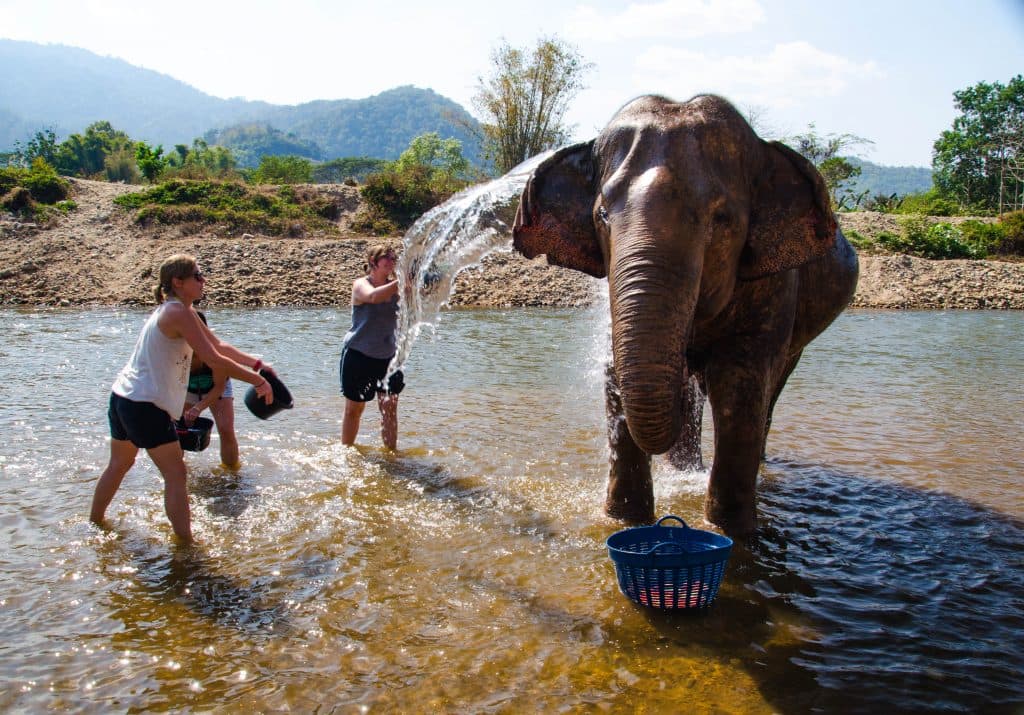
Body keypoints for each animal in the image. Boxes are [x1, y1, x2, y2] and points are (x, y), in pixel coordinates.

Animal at [512, 94, 858, 536]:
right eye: (602, 215)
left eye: (721, 219)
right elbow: (616, 368)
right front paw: (624, 520)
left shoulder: (776, 284)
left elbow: (740, 383)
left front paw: (730, 531)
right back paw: (684, 470)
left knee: (771, 388)